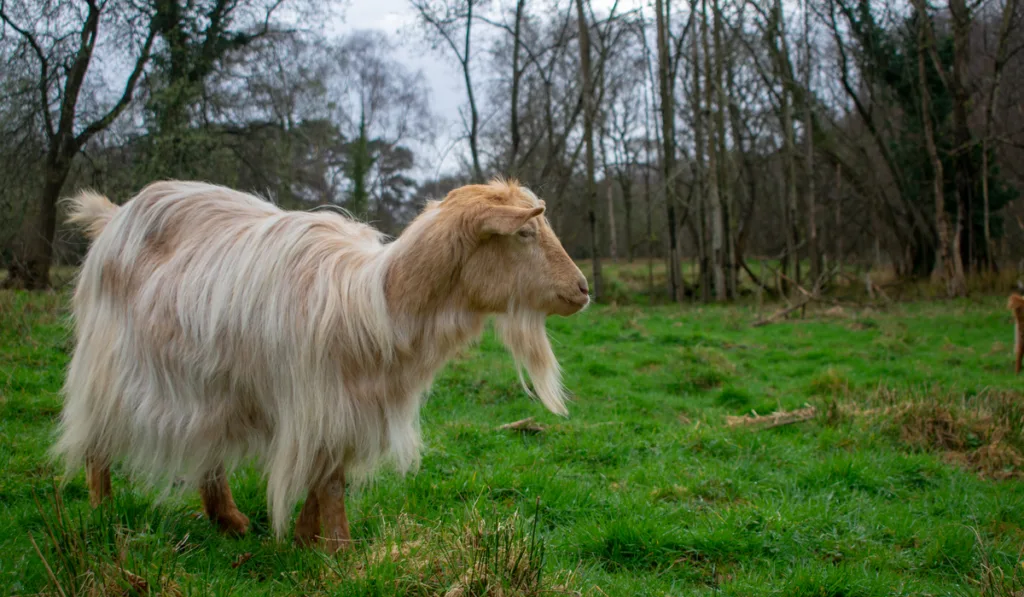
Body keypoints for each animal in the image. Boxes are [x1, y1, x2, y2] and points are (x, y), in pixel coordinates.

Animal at [54, 180, 593, 552]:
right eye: (525, 232)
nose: (583, 288)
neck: (374, 305)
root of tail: (116, 214)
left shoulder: (349, 411)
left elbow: (329, 474)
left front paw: (306, 539)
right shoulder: (318, 402)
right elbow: (330, 482)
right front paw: (341, 550)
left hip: (213, 382)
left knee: (209, 445)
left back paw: (229, 520)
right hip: (108, 363)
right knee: (97, 437)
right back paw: (103, 511)